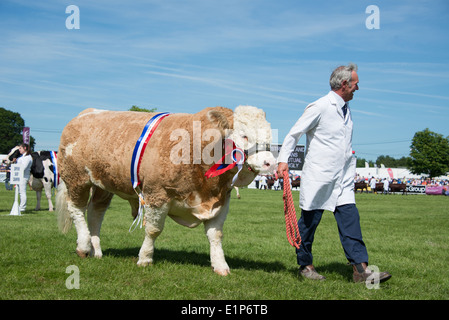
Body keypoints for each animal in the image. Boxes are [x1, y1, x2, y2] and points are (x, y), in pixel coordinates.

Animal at [56, 105, 272, 276]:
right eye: (244, 135)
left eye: (269, 137)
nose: (269, 163)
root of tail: (86, 113)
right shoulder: (156, 194)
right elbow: (153, 230)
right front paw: (145, 258)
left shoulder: (220, 201)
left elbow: (215, 235)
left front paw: (220, 266)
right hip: (76, 178)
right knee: (77, 210)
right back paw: (83, 246)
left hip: (103, 185)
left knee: (95, 213)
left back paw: (96, 250)